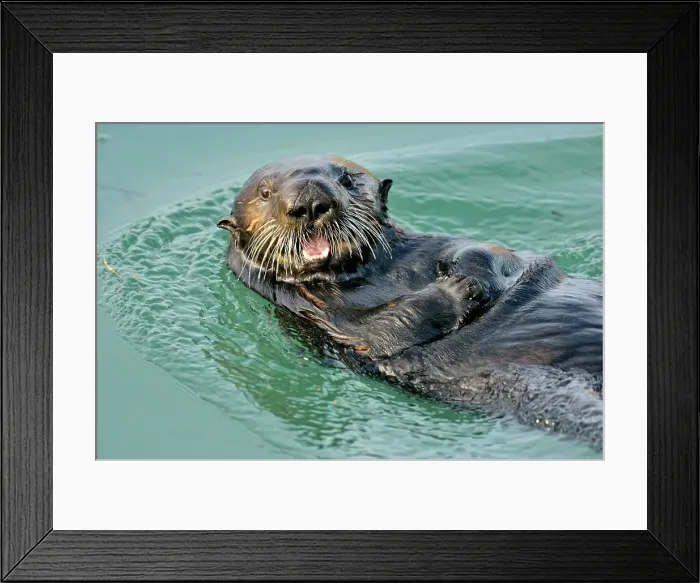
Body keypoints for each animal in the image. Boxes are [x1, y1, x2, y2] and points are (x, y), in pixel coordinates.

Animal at [217, 155, 603, 450]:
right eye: (266, 192)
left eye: (346, 180)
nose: (310, 200)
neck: (367, 275)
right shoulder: (317, 316)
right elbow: (382, 332)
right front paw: (458, 288)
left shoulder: (436, 243)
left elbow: (484, 250)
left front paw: (471, 277)